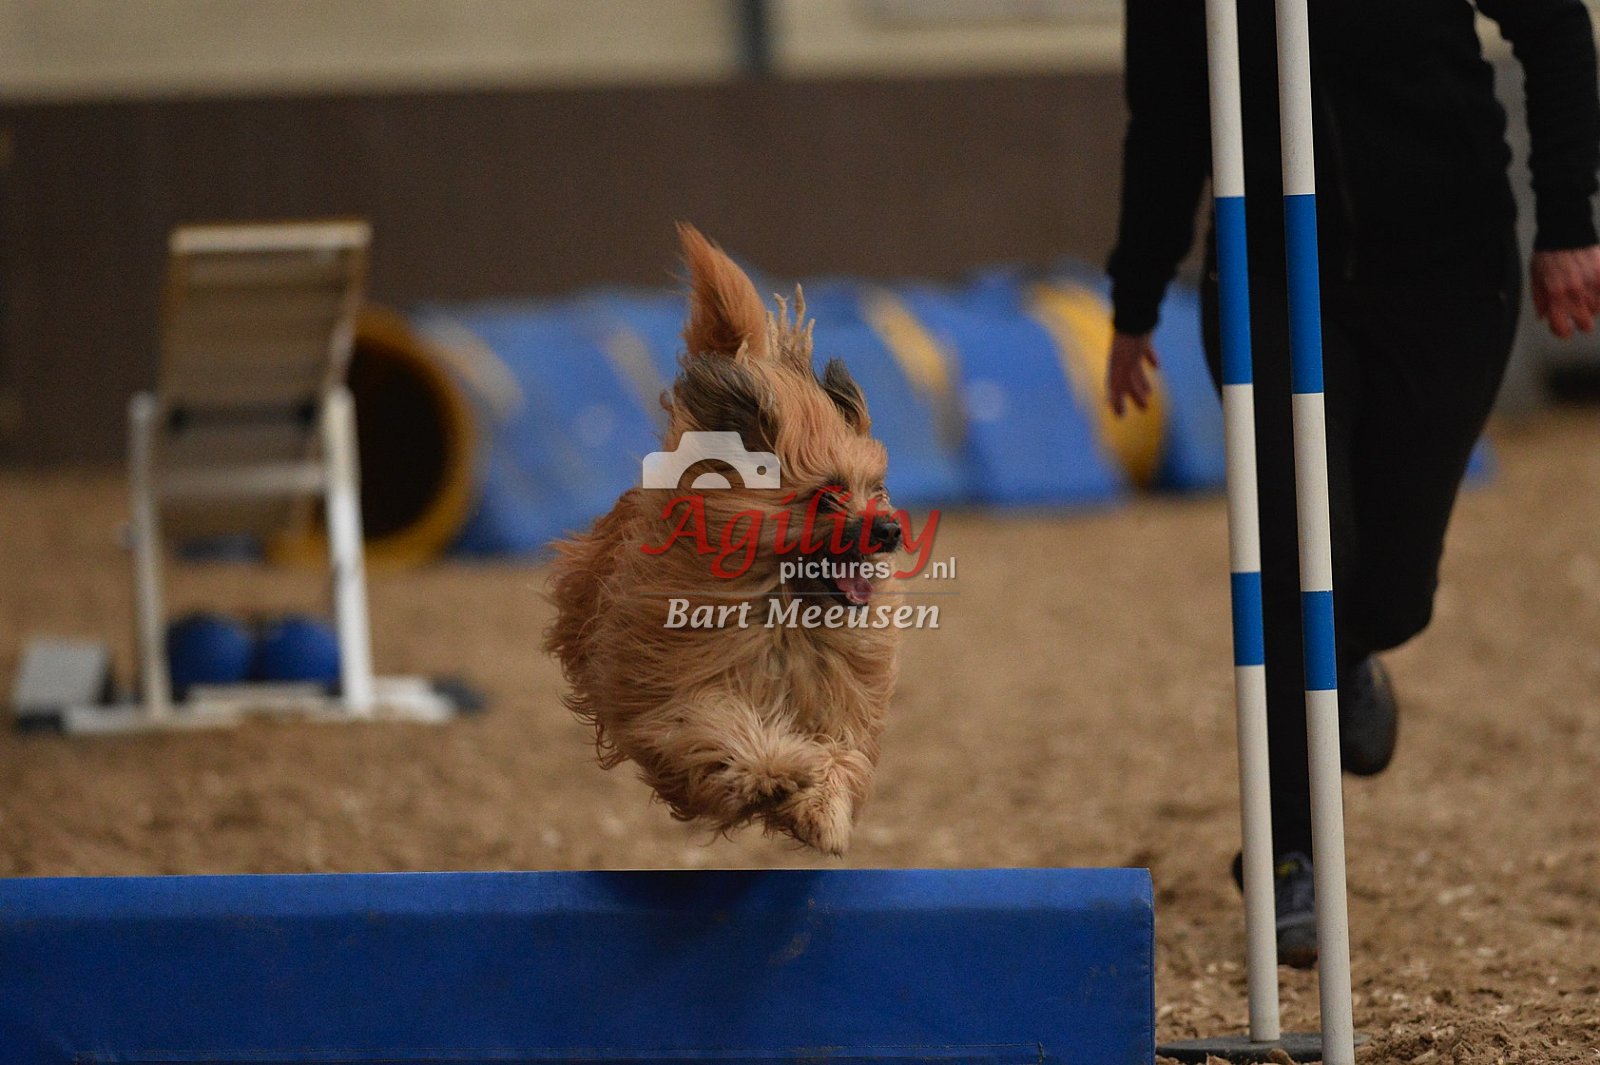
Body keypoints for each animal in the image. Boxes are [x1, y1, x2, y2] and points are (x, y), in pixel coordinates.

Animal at [544, 224, 905, 856]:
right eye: (828, 495)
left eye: (876, 489)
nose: (888, 530)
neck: (783, 617)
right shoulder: (675, 693)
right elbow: (722, 727)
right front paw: (773, 772)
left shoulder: (840, 711)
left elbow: (839, 758)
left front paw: (824, 812)